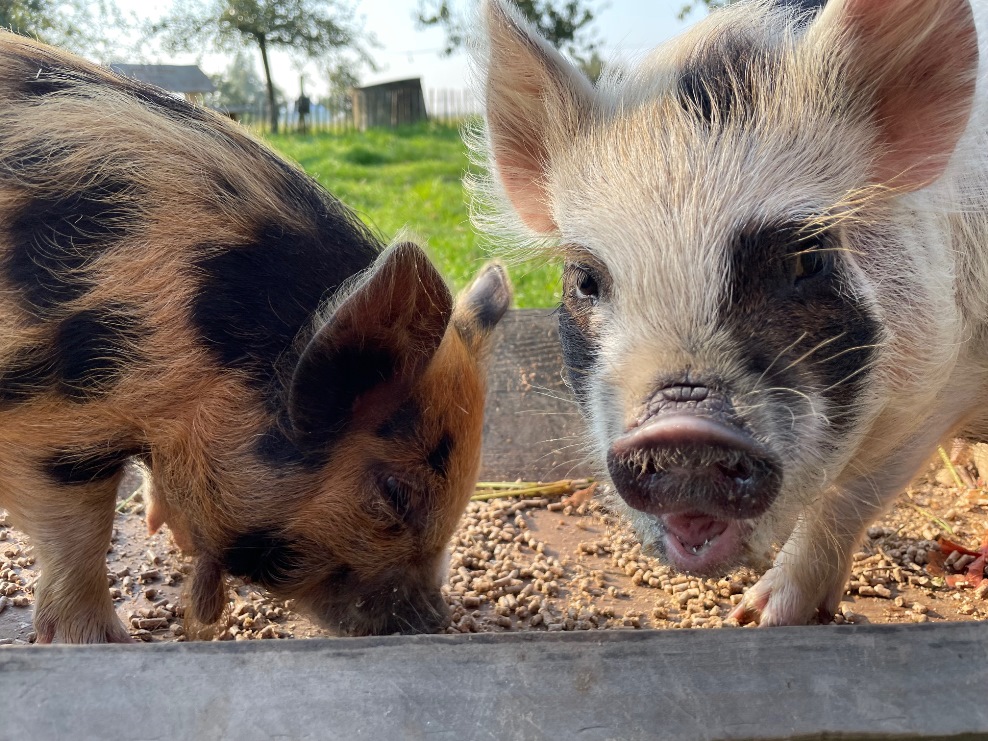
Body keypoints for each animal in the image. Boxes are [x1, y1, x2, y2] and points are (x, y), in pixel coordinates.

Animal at [474, 0, 984, 624]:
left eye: (807, 258)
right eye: (585, 280)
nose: (681, 422)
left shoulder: (937, 386)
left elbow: (847, 498)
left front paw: (757, 618)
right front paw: (741, 617)